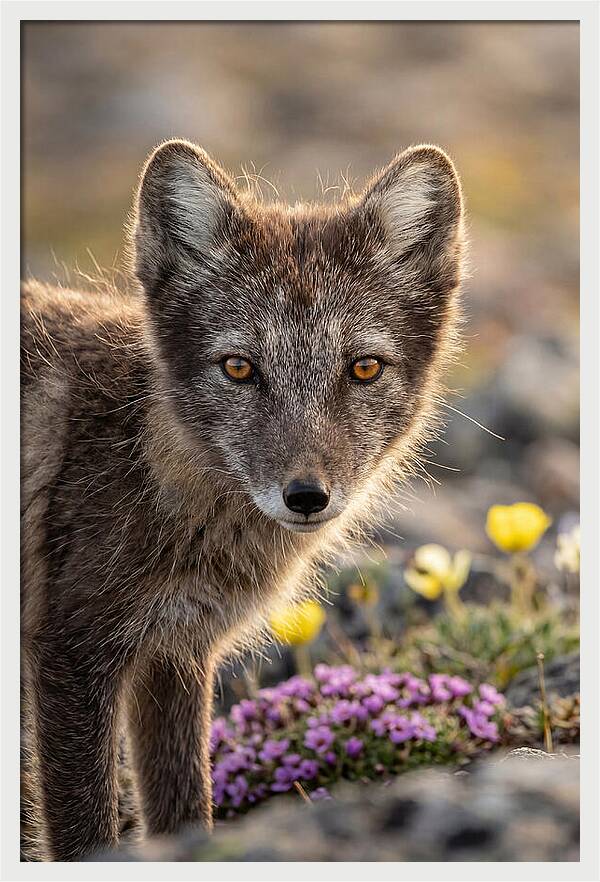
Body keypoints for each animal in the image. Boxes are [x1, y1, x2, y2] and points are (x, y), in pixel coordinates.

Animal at [20, 139, 465, 861]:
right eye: (238, 368)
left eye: (363, 368)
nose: (306, 497)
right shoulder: (71, 652)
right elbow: (86, 833)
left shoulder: (175, 655)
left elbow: (184, 813)